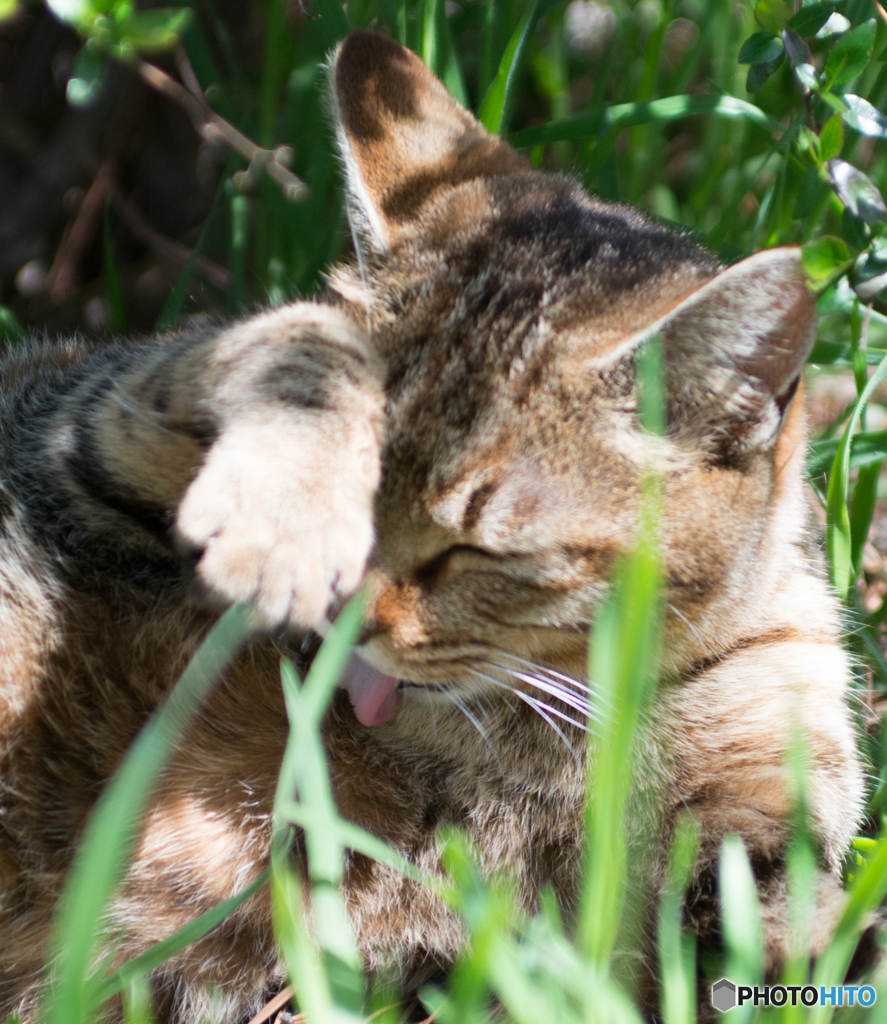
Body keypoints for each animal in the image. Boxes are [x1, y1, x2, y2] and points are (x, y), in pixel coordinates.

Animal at [0, 29, 864, 1024]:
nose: (343, 615)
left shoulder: (751, 827)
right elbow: (292, 333)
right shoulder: (78, 434)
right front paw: (285, 517)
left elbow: (783, 929)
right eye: (356, 506)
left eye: (472, 551)